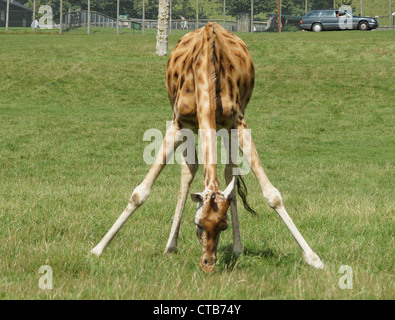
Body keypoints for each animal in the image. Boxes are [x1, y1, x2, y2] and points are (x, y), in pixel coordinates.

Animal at [91, 22, 326, 272]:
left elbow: (272, 194)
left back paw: (237, 247)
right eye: (198, 224)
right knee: (190, 169)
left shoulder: (237, 122)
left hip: (225, 127)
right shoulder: (178, 123)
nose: (208, 263)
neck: (206, 70)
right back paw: (170, 245)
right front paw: (98, 248)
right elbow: (140, 192)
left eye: (223, 225)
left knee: (228, 171)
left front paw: (314, 257)